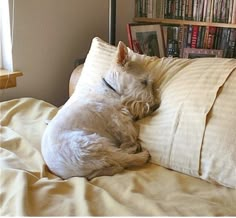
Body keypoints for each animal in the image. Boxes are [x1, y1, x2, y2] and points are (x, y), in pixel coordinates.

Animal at [42, 41, 160, 180]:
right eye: (144, 82)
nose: (155, 105)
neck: (111, 88)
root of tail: (66, 174)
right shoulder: (117, 118)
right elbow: (128, 130)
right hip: (92, 145)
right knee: (122, 157)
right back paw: (142, 155)